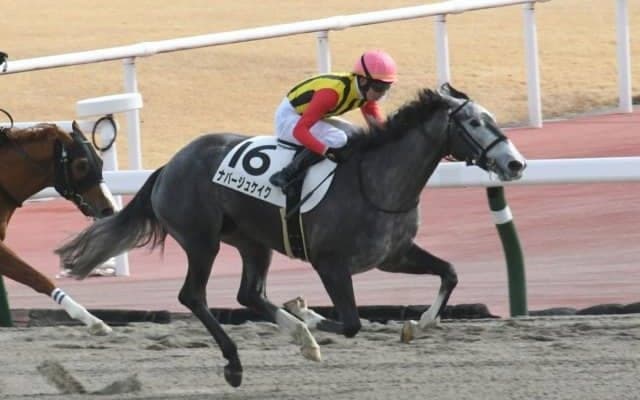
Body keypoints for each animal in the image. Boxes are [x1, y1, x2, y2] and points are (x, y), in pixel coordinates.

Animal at [56, 83, 526, 387]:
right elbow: (352, 322)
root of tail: (170, 165)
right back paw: (238, 362)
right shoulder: (331, 264)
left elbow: (449, 273)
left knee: (249, 294)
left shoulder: (394, 255)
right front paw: (309, 312)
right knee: (193, 296)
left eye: (491, 119)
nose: (516, 163)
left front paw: (418, 325)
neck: (376, 180)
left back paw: (301, 340)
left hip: (252, 242)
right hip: (202, 240)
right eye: (474, 122)